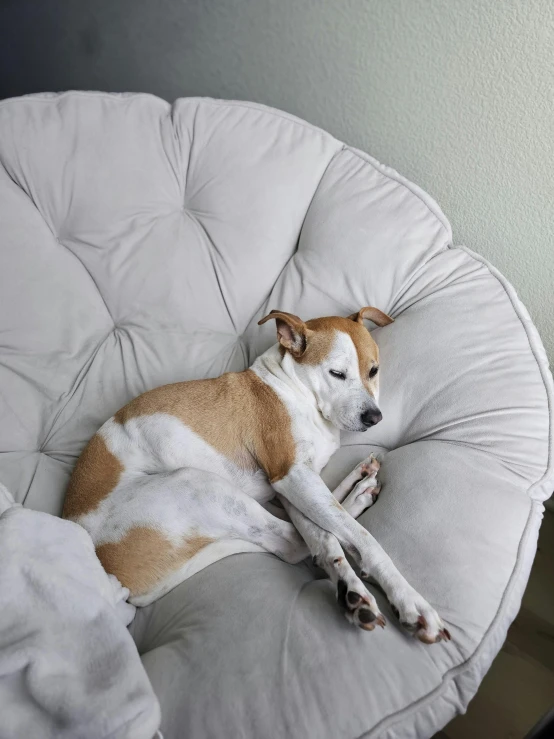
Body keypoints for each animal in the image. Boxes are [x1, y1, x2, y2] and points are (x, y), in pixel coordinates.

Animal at [62, 306, 448, 640]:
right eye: (336, 374)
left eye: (374, 371)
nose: (374, 417)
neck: (294, 390)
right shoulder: (290, 476)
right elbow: (355, 537)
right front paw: (407, 601)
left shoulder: (290, 483)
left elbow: (323, 536)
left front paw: (348, 585)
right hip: (199, 484)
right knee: (290, 543)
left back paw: (357, 491)